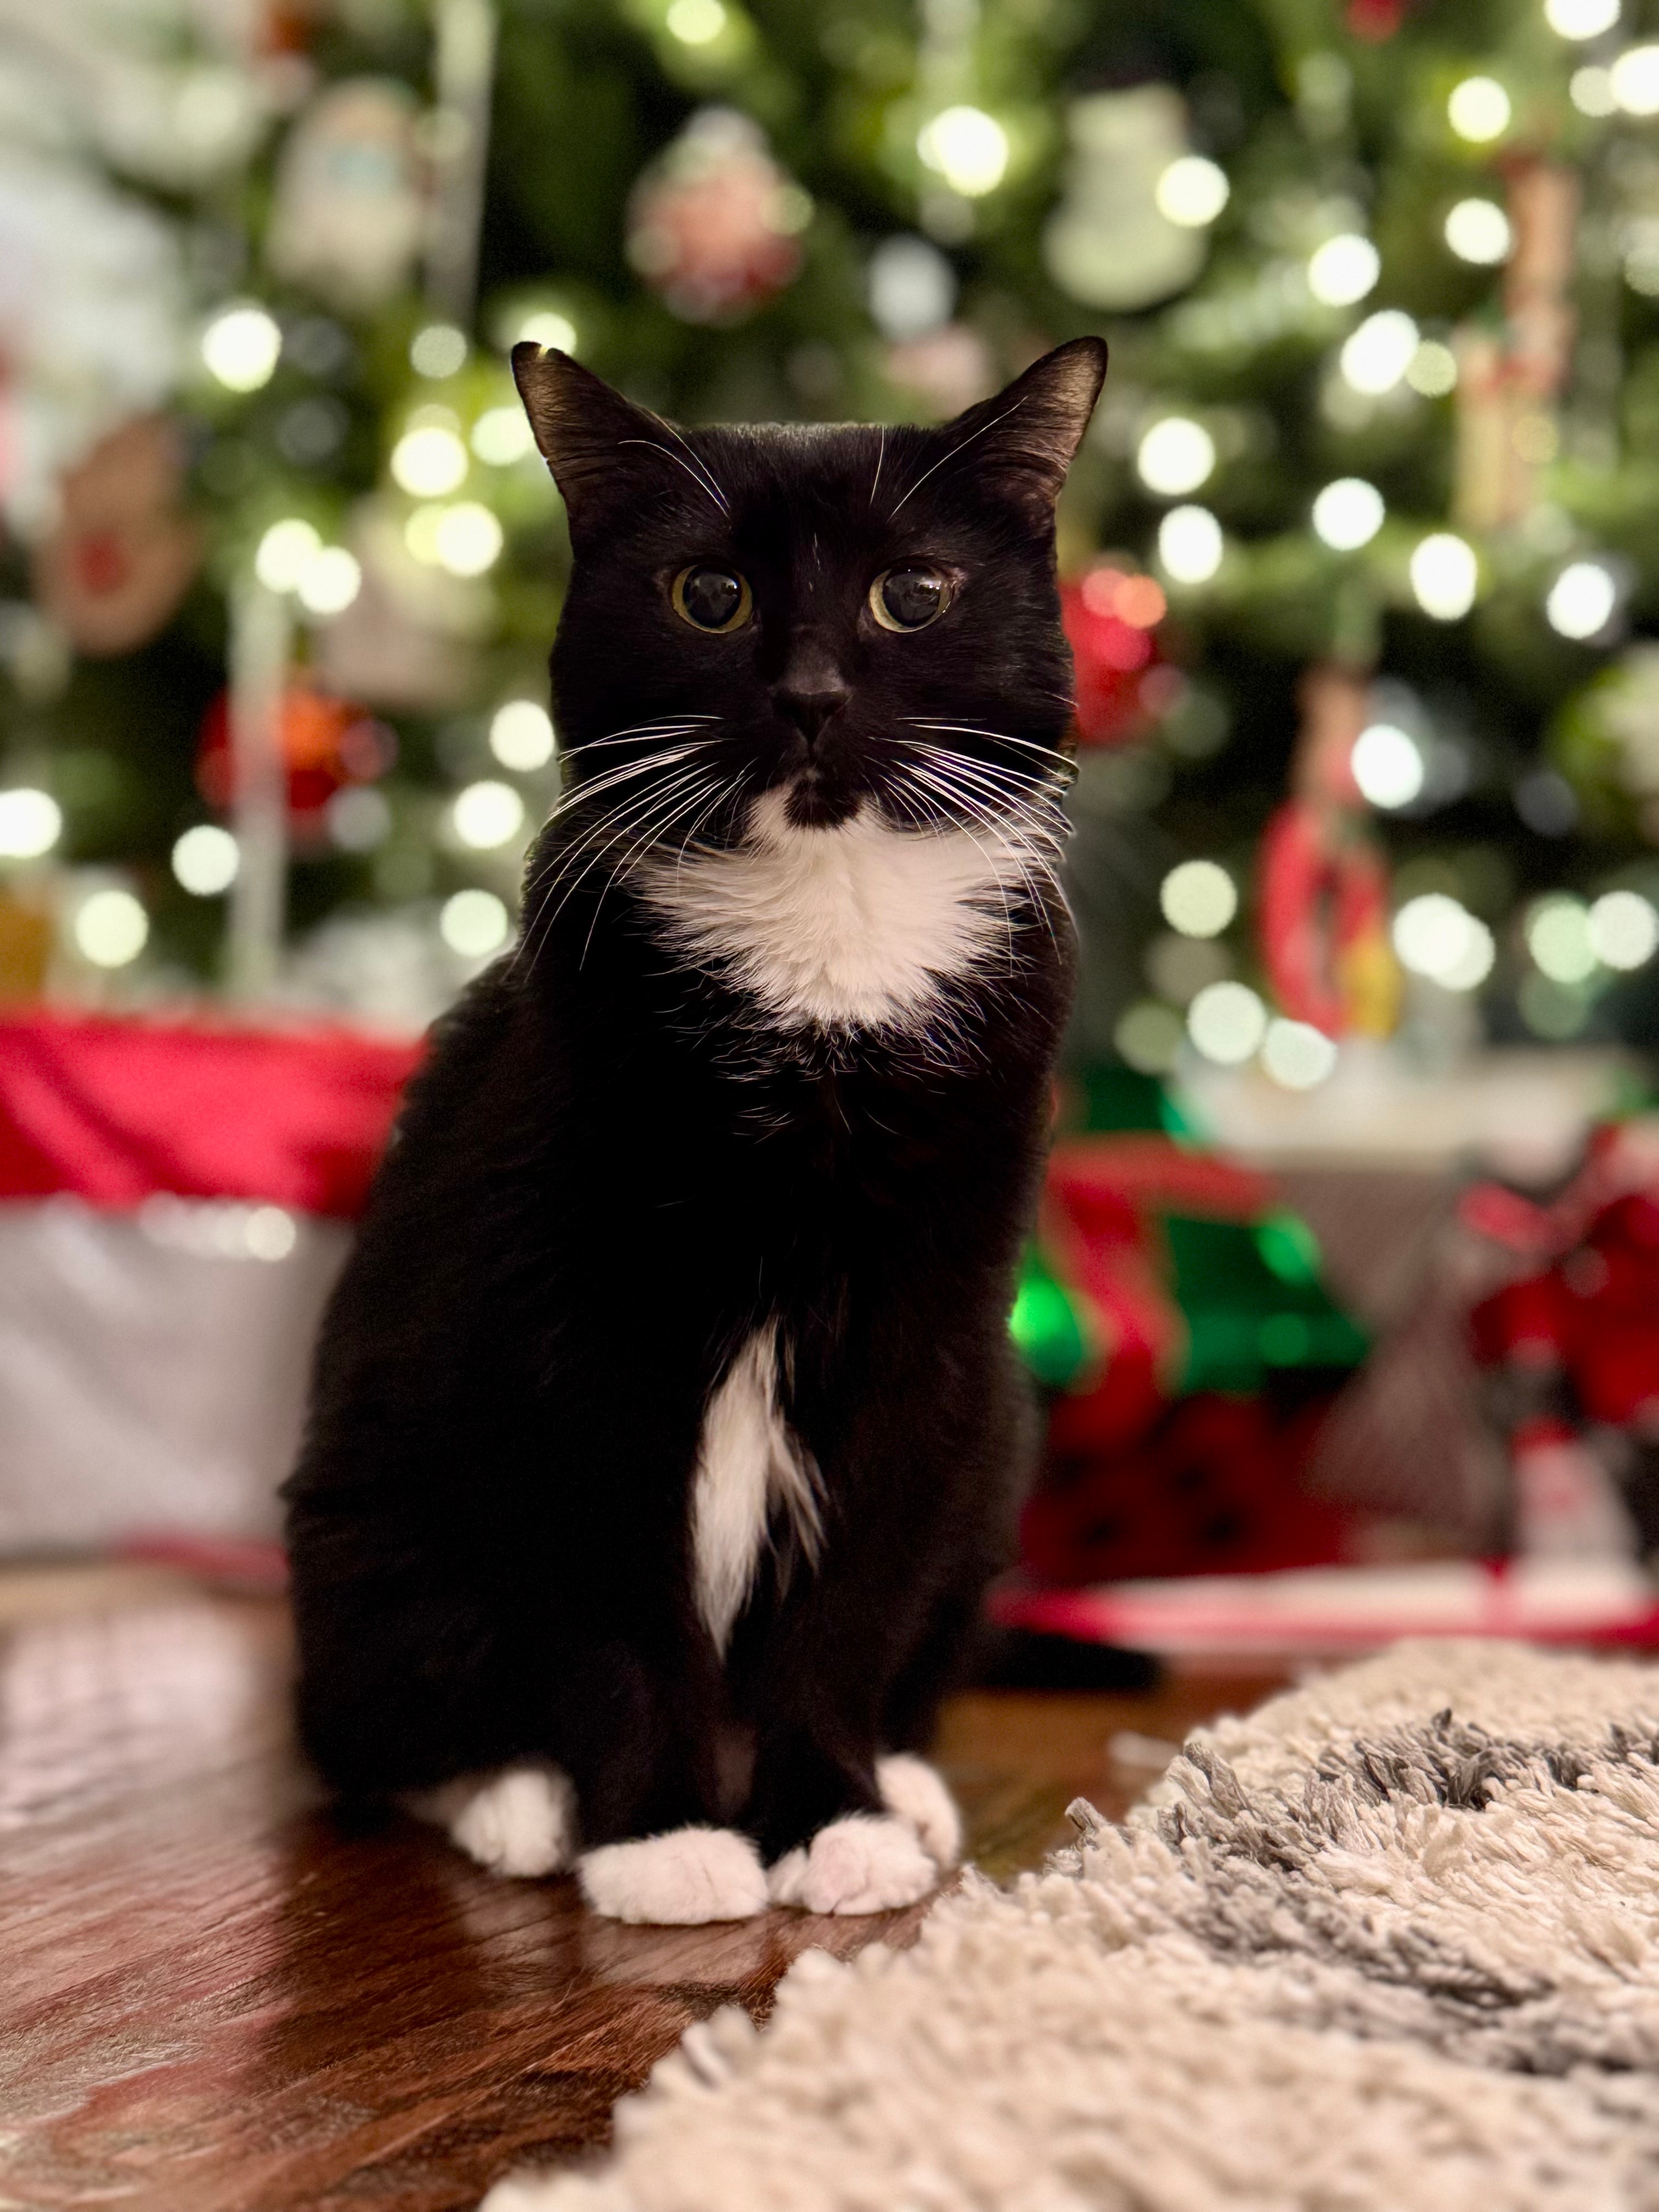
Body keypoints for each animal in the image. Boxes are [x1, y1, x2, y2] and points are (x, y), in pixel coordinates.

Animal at [285, 327, 1110, 1920]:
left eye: (913, 593)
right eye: (706, 597)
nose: (808, 693)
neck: (824, 954)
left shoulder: (927, 1326)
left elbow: (853, 1597)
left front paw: (837, 1817)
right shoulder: (570, 1334)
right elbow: (615, 1601)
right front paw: (662, 1839)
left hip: (1001, 1444)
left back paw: (907, 1784)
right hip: (368, 1525)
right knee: (374, 1728)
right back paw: (518, 1800)